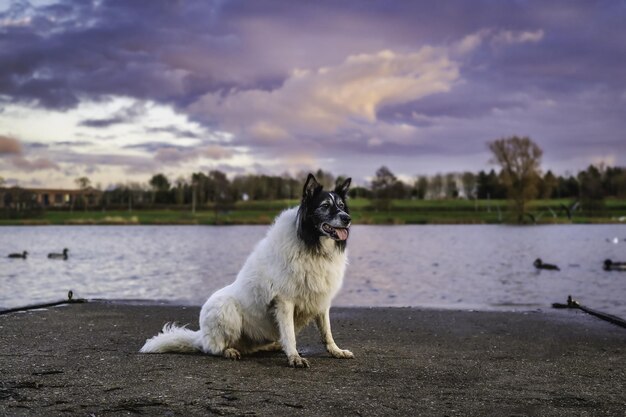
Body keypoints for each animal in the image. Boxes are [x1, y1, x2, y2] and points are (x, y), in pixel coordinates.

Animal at [140, 173, 352, 368]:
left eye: (341, 206)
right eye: (325, 206)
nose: (348, 218)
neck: (311, 245)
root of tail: (201, 336)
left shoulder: (321, 300)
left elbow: (326, 332)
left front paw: (336, 351)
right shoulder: (284, 301)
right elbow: (289, 334)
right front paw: (294, 357)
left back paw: (273, 345)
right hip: (226, 310)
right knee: (213, 348)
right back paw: (229, 351)